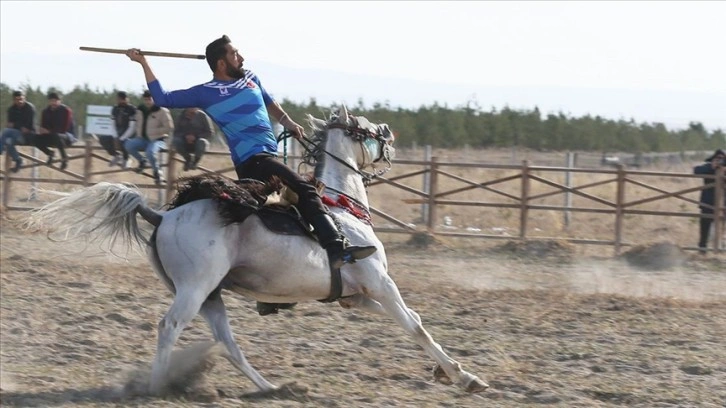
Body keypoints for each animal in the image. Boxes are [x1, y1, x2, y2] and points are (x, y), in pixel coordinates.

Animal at [27, 105, 490, 396]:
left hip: (212, 296)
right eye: (363, 128)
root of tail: (160, 216)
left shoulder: (355, 298)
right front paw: (461, 376)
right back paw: (156, 387)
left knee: (227, 343)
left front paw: (457, 373)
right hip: (195, 289)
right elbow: (416, 325)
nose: (389, 134)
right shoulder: (380, 284)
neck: (341, 209)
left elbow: (409, 322)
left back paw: (271, 388)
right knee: (169, 327)